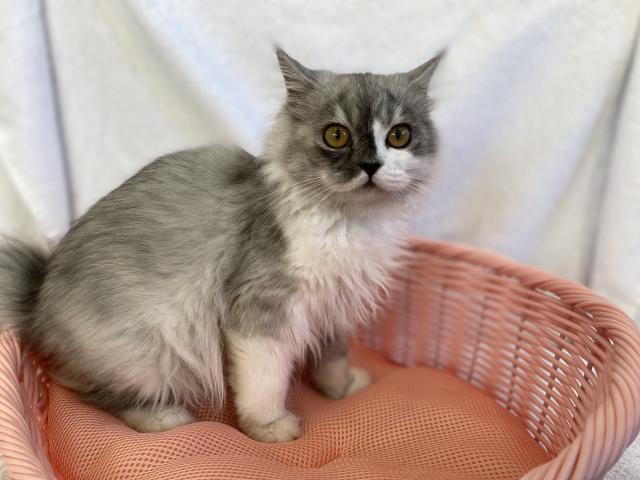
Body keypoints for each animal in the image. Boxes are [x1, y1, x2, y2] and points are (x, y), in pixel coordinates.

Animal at [0, 48, 441, 442]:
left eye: (399, 136)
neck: (351, 224)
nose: (371, 166)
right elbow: (265, 382)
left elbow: (333, 356)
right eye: (336, 135)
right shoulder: (260, 312)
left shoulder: (335, 306)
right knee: (88, 391)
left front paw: (341, 388)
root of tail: (37, 295)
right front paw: (270, 428)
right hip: (152, 351)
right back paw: (163, 417)